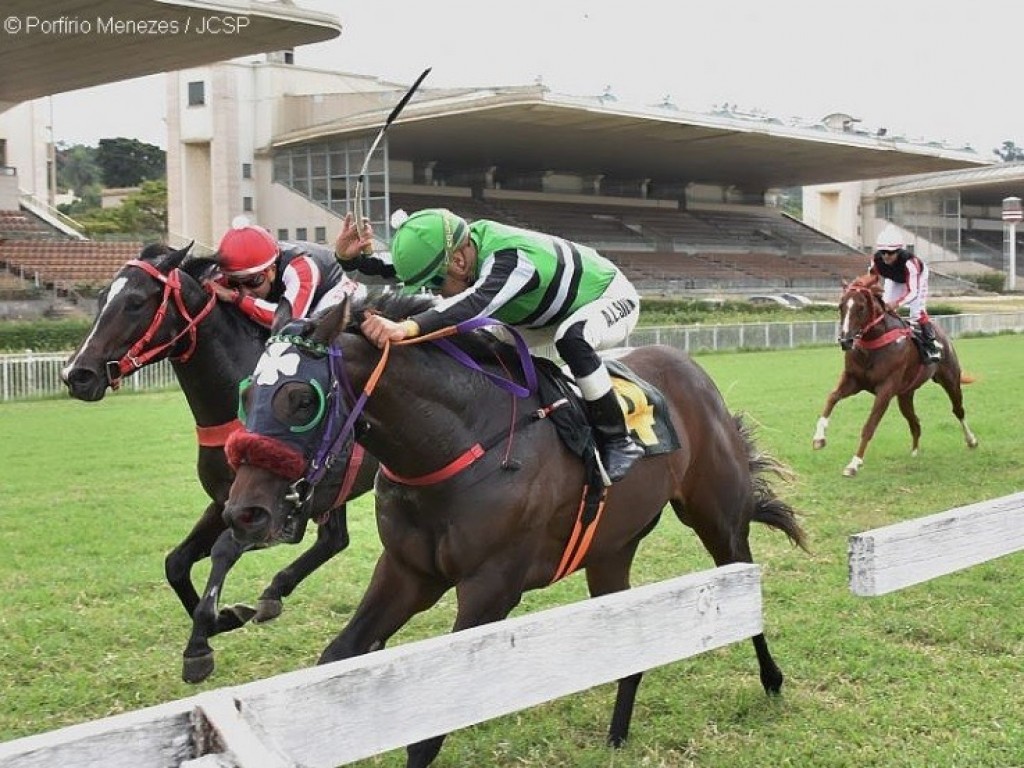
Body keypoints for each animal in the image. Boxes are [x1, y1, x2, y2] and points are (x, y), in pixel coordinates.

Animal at [60, 243, 380, 684]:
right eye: (102, 297)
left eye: (136, 302)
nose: (76, 374)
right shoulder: (224, 501)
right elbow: (176, 562)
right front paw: (224, 619)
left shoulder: (272, 509)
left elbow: (224, 549)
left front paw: (201, 641)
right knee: (335, 540)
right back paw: (273, 593)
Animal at [224, 294, 806, 768]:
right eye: (246, 391)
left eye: (302, 399)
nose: (245, 512)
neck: (457, 445)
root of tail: (690, 369)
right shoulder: (407, 572)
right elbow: (338, 659)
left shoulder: (490, 587)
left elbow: (430, 727)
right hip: (610, 550)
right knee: (626, 643)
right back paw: (617, 734)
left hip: (717, 517)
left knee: (741, 580)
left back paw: (772, 679)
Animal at [811, 274, 978, 479]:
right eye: (840, 306)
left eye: (861, 307)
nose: (845, 341)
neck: (873, 345)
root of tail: (943, 335)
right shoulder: (853, 380)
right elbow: (832, 397)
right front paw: (819, 438)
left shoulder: (885, 389)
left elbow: (869, 426)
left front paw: (854, 464)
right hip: (905, 395)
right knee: (915, 422)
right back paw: (914, 453)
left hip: (950, 379)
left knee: (958, 410)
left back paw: (971, 440)